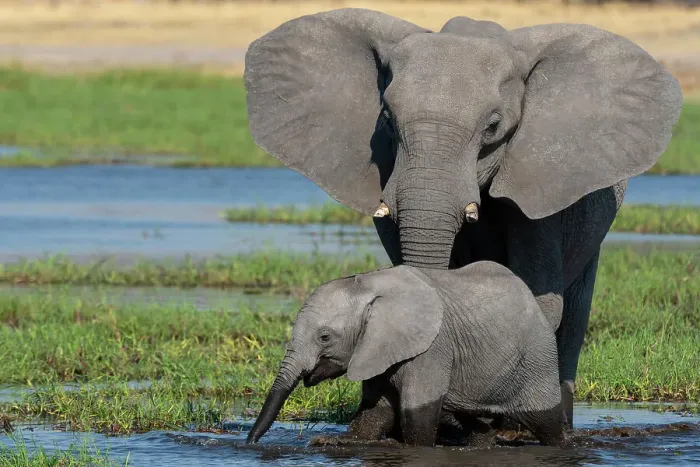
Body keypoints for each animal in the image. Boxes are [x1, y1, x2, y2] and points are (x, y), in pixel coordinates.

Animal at [246, 262, 564, 447]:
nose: (248, 443)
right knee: (478, 426)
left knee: (547, 425)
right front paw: (332, 442)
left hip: (538, 356)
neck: (367, 285)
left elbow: (417, 418)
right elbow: (373, 414)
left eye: (324, 337)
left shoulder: (432, 348)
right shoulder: (376, 347)